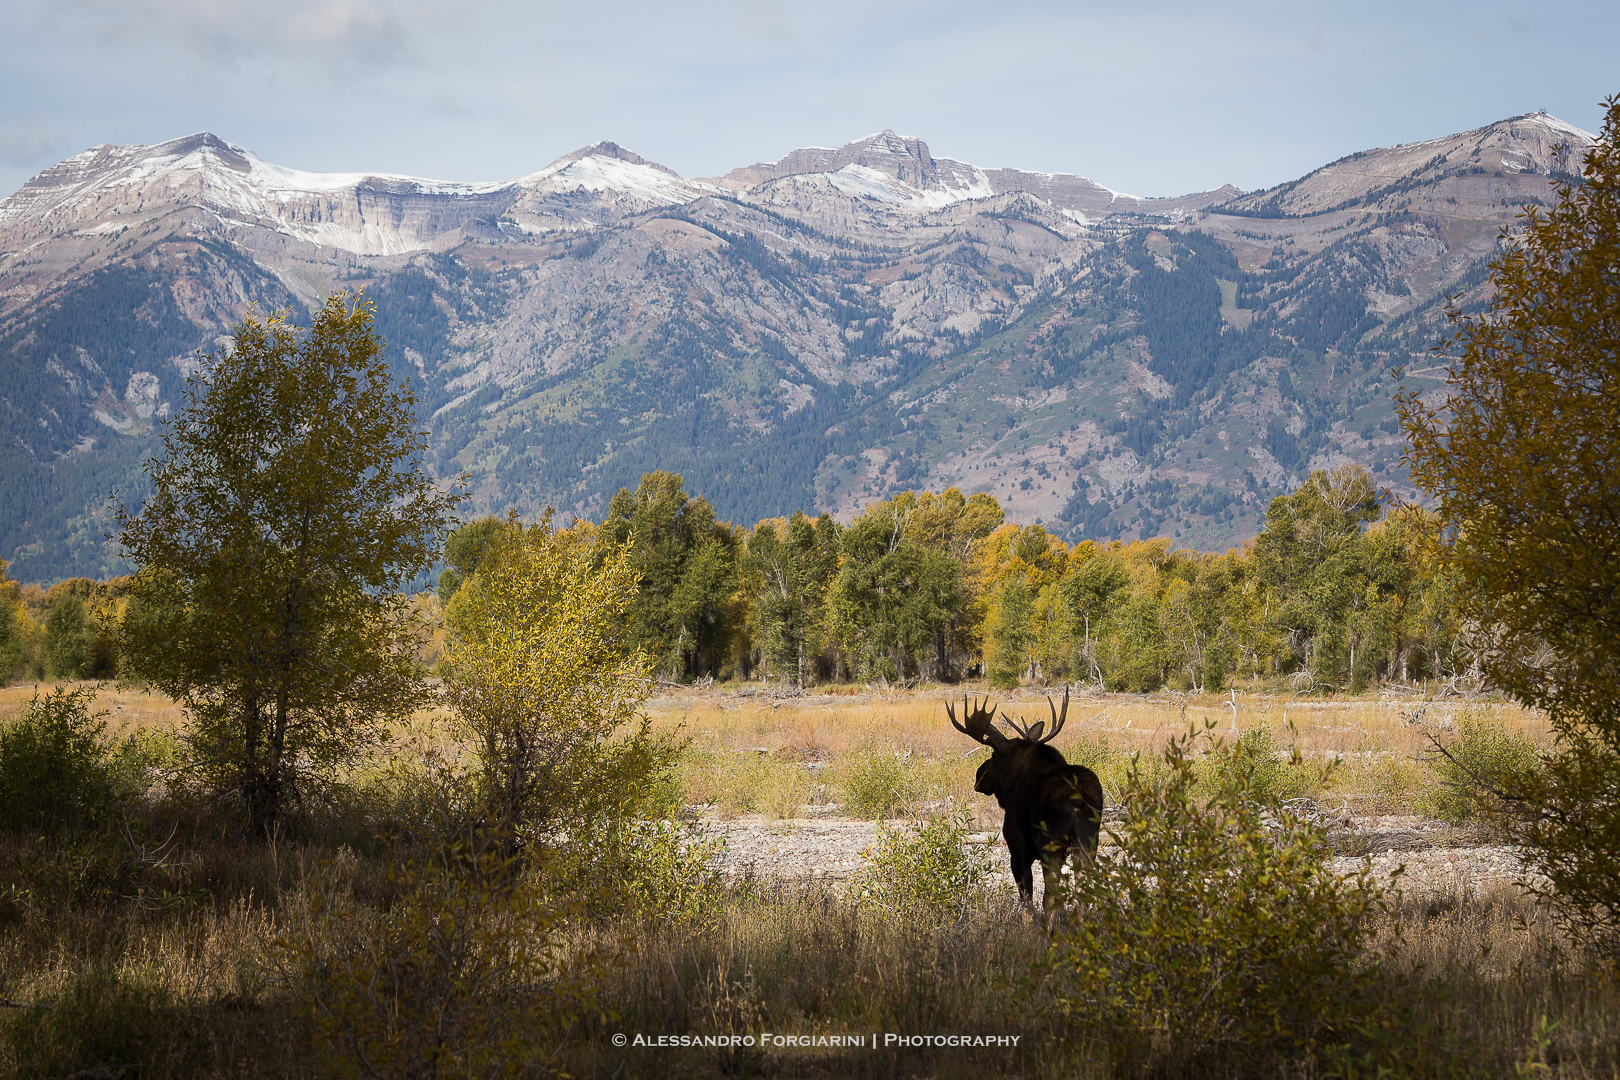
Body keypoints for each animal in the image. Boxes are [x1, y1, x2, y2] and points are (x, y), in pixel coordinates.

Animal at [948, 685, 1104, 911]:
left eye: (993, 756)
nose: (978, 776)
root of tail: (1078, 801)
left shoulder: (1017, 848)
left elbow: (1026, 901)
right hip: (1088, 845)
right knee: (1083, 897)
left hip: (1052, 846)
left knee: (1052, 898)